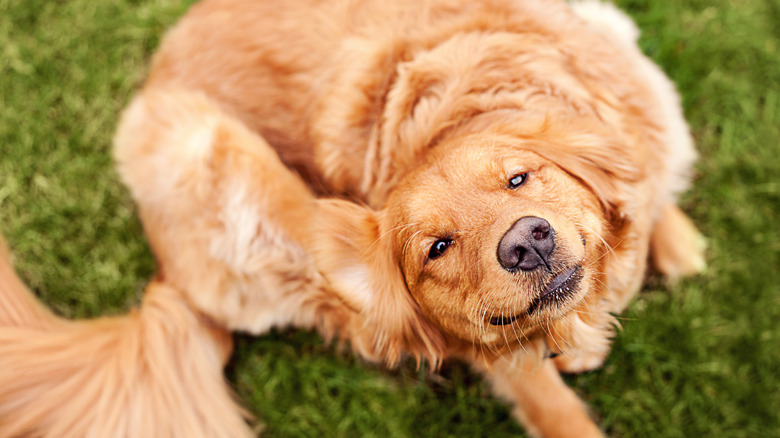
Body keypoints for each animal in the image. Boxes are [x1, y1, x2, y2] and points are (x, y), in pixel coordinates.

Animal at [1, 0, 708, 436]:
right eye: (437, 248)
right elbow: (548, 400)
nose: (526, 244)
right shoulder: (488, 339)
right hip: (215, 155)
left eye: (518, 178)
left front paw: (674, 238)